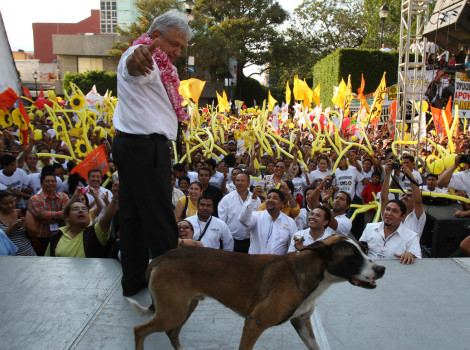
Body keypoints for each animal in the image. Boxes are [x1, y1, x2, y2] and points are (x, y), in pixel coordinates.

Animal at [127, 235, 386, 350]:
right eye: (352, 257)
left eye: (364, 250)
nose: (381, 269)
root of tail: (161, 258)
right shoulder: (255, 322)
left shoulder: (302, 323)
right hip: (173, 312)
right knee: (139, 330)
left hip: (185, 307)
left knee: (171, 333)